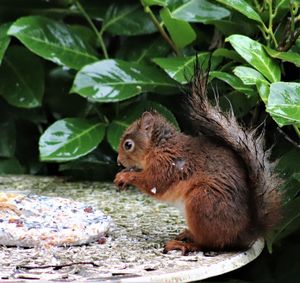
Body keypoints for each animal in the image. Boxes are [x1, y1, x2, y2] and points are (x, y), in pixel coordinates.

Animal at [113, 72, 282, 256]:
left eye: (128, 145)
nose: (119, 162)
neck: (159, 146)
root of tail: (244, 233)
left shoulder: (167, 164)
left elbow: (153, 183)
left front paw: (125, 176)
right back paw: (187, 234)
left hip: (202, 201)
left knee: (209, 244)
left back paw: (185, 244)